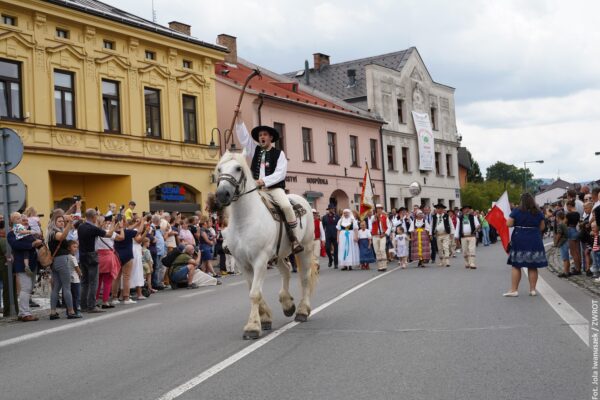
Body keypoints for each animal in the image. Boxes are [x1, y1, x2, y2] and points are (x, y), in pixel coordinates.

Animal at [214, 152, 318, 340]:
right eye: (219, 168)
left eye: (238, 168)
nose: (222, 194)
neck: (244, 220)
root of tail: (303, 201)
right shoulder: (243, 263)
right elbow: (252, 290)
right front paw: (265, 318)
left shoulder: (260, 260)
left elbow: (255, 293)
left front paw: (252, 327)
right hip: (279, 254)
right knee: (286, 270)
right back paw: (287, 304)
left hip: (304, 250)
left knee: (305, 278)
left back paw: (302, 310)